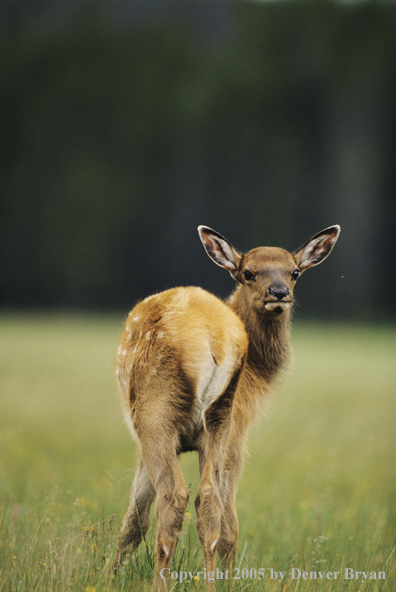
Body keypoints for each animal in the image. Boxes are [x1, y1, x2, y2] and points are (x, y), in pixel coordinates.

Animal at [113, 224, 340, 588]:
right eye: (248, 272)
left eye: (294, 272)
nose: (279, 292)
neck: (256, 376)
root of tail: (213, 338)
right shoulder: (231, 427)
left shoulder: (238, 430)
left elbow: (134, 519)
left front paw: (107, 574)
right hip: (215, 418)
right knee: (207, 500)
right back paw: (209, 584)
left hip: (156, 414)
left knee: (177, 497)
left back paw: (163, 583)